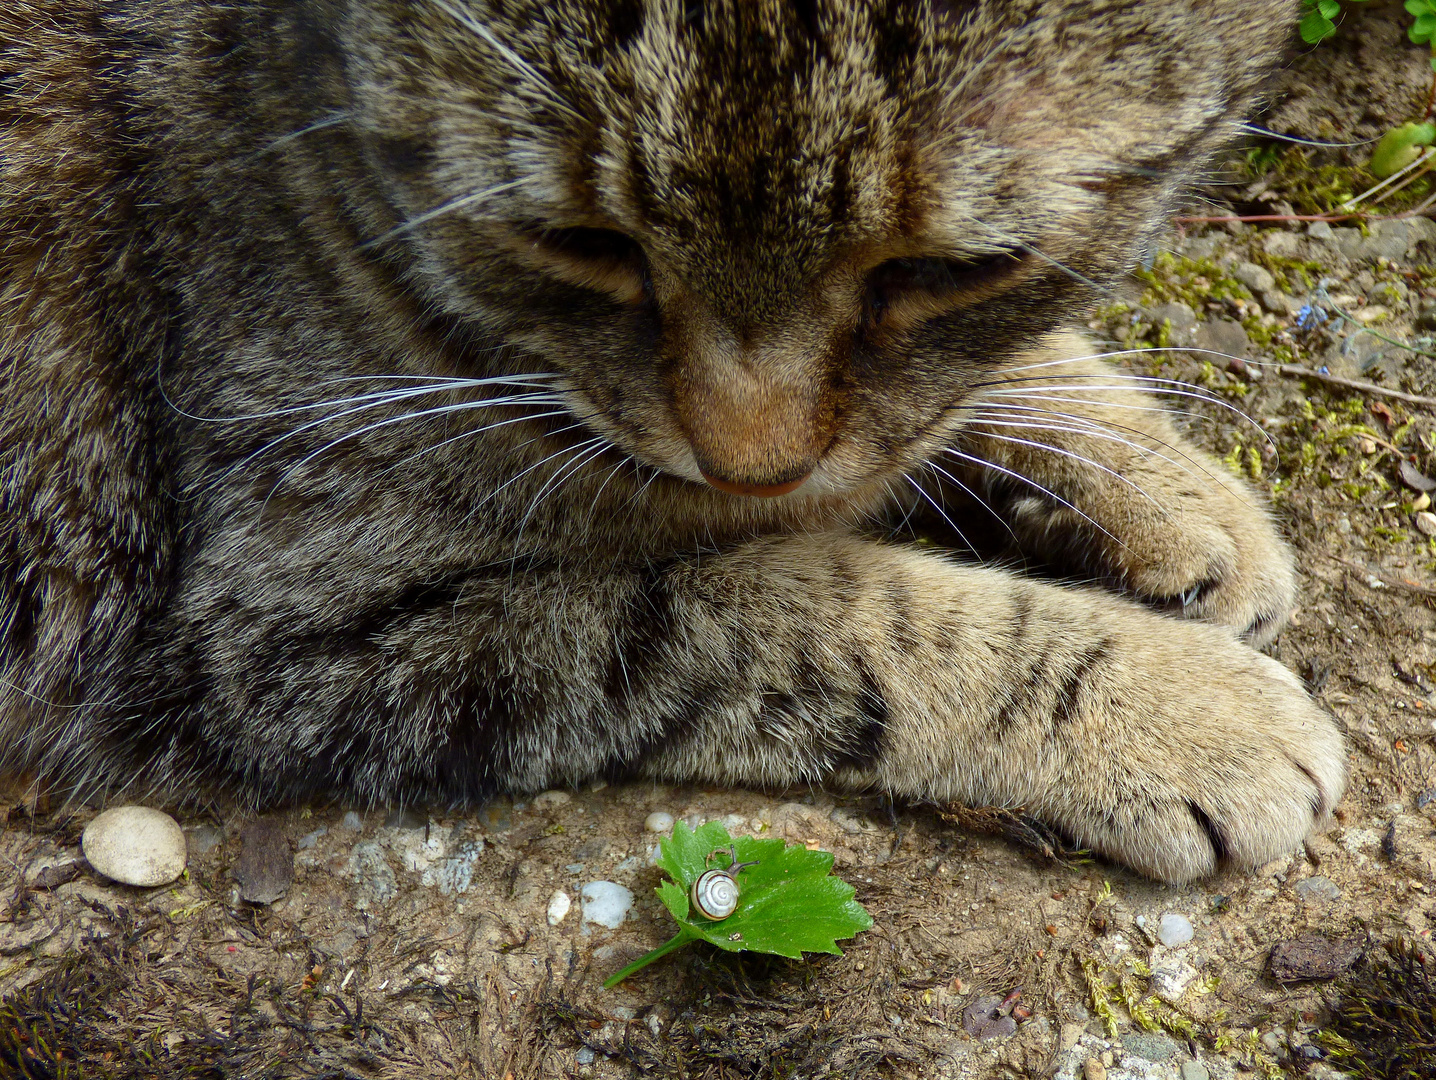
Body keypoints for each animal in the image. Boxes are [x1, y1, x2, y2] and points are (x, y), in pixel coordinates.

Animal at [2, 0, 1344, 878]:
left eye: (949, 270)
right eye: (578, 244)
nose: (753, 461)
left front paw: (1145, 474)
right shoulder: (299, 630)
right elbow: (816, 606)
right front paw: (1166, 707)